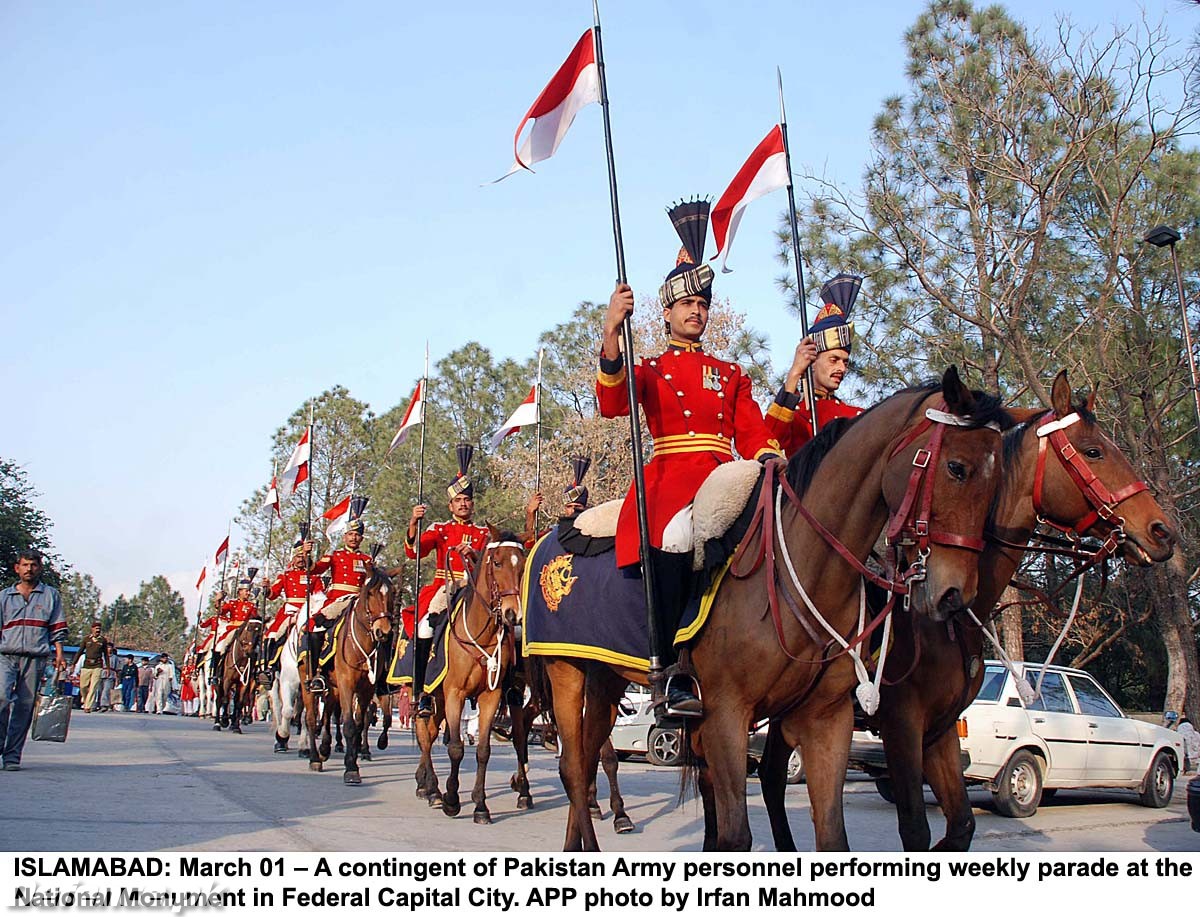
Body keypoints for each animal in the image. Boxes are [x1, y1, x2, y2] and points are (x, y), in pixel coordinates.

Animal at [331, 568, 396, 782]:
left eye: (392, 593)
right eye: (370, 593)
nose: (383, 632)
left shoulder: (370, 690)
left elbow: (367, 722)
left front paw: (361, 752)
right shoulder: (346, 685)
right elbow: (349, 724)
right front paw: (351, 767)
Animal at [412, 530, 525, 825]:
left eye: (521, 564)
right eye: (497, 562)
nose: (513, 614)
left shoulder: (490, 696)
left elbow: (483, 750)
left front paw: (481, 806)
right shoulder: (455, 694)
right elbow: (455, 747)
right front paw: (452, 800)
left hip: (440, 701)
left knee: (429, 733)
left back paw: (429, 786)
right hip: (428, 696)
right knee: (425, 735)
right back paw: (432, 789)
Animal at [530, 367, 1008, 854]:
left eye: (999, 483)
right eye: (956, 467)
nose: (953, 593)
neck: (798, 564)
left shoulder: (827, 718)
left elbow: (833, 836)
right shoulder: (728, 714)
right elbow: (736, 834)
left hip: (605, 677)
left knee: (588, 759)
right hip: (565, 671)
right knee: (573, 766)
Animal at [753, 367, 1176, 854]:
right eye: (1094, 451)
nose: (1162, 532)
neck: (946, 623)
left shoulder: (941, 729)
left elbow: (961, 825)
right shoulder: (901, 723)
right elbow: (915, 829)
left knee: (769, 775)